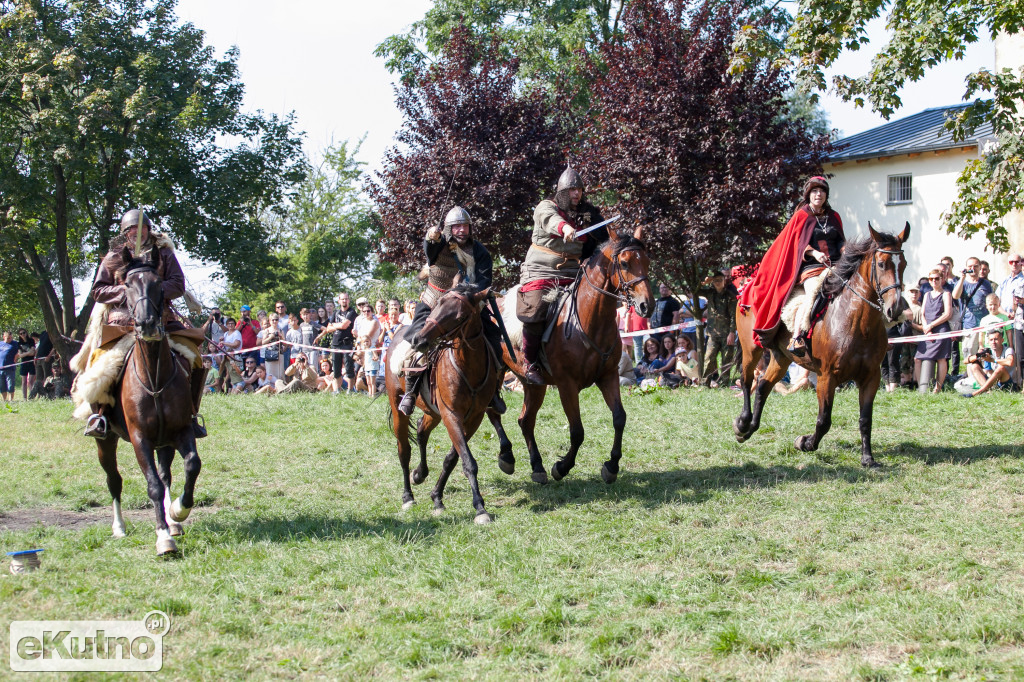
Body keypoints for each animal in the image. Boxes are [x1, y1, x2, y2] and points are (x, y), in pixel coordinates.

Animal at [96, 251, 201, 557]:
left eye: (157, 284)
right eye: (128, 286)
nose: (147, 324)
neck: (154, 377)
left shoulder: (181, 431)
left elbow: (191, 465)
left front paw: (177, 512)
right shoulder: (140, 438)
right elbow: (152, 484)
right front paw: (163, 537)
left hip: (164, 442)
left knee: (166, 475)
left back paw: (172, 521)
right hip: (105, 441)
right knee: (114, 479)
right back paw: (119, 527)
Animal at [385, 280, 499, 520]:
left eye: (460, 316)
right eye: (437, 306)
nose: (419, 340)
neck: (468, 367)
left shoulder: (473, 418)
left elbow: (453, 458)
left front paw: (437, 497)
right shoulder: (451, 415)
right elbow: (468, 461)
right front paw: (480, 508)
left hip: (432, 412)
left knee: (421, 430)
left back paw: (420, 473)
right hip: (398, 406)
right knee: (403, 450)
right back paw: (407, 496)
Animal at [497, 227, 655, 483]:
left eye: (647, 261)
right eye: (624, 262)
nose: (646, 306)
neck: (589, 321)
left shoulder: (608, 377)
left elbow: (619, 418)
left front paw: (611, 465)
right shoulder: (567, 385)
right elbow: (577, 431)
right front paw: (562, 467)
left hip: (533, 385)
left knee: (525, 420)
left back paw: (537, 466)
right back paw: (507, 456)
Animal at [733, 223, 909, 466]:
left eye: (903, 264)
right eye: (882, 264)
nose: (896, 309)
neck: (857, 323)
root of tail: (747, 289)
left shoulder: (871, 377)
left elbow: (866, 419)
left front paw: (867, 458)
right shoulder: (827, 377)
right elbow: (824, 420)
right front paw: (805, 443)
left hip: (781, 357)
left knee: (762, 386)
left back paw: (750, 428)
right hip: (752, 348)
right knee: (747, 379)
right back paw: (742, 424)